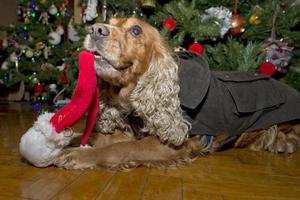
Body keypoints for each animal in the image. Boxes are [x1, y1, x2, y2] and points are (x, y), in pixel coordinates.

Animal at [54, 17, 300, 170]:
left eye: (136, 30)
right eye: (110, 22)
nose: (95, 29)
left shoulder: (170, 145)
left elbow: (121, 148)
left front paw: (77, 155)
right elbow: (102, 138)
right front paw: (66, 140)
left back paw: (280, 143)